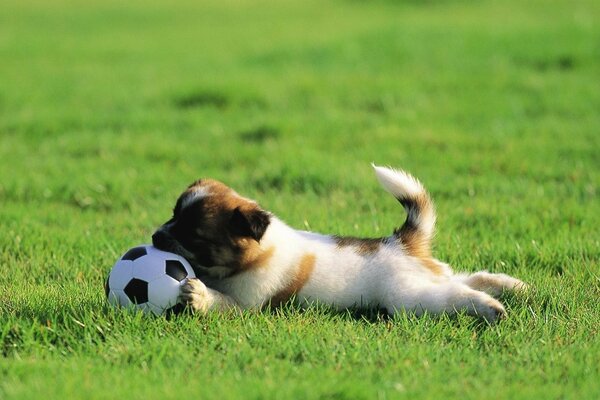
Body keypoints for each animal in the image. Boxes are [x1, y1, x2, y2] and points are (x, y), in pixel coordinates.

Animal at [152, 164, 528, 324]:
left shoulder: (246, 304)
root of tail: (401, 242)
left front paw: (198, 295)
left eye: (194, 236)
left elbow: (219, 301)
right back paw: (514, 287)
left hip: (408, 296)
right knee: (468, 278)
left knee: (456, 294)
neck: (256, 253)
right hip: (428, 276)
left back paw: (490, 307)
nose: (155, 236)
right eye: (172, 215)